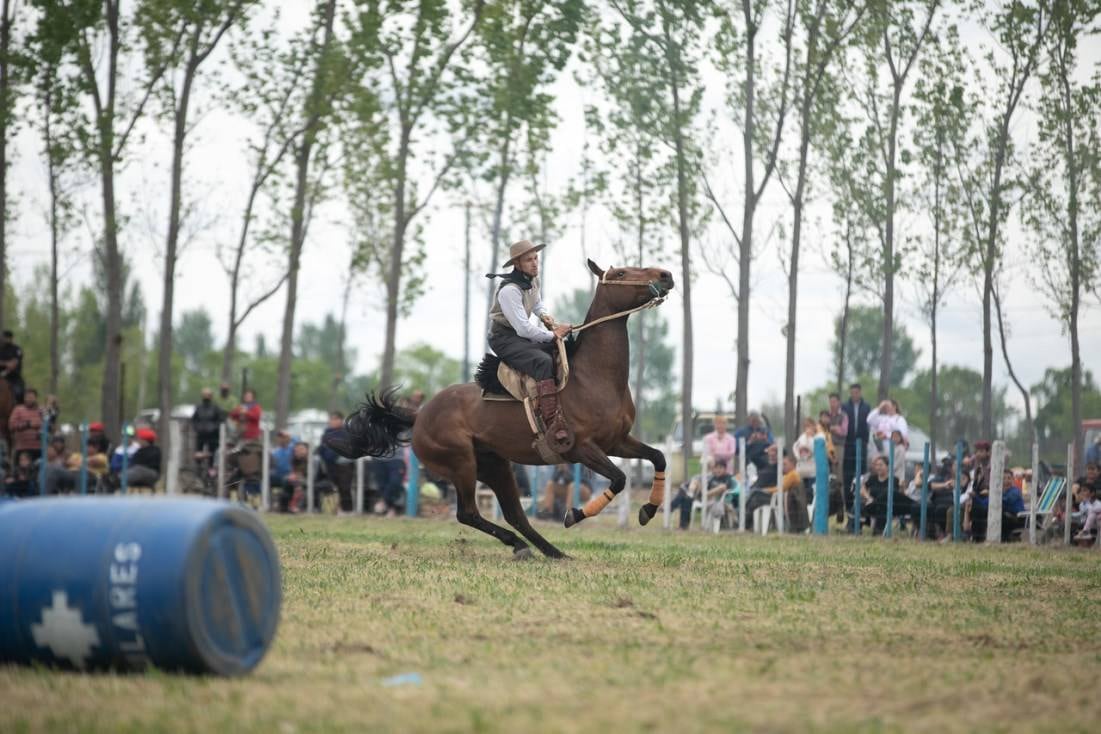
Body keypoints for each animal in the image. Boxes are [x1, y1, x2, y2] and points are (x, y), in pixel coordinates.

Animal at [339, 260, 673, 559]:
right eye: (621, 273)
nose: (665, 275)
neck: (593, 376)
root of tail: (419, 415)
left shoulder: (617, 442)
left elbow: (658, 457)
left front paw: (648, 509)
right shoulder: (582, 448)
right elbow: (619, 479)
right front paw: (574, 515)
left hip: (495, 465)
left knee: (515, 514)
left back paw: (551, 551)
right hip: (461, 464)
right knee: (468, 513)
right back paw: (522, 545)